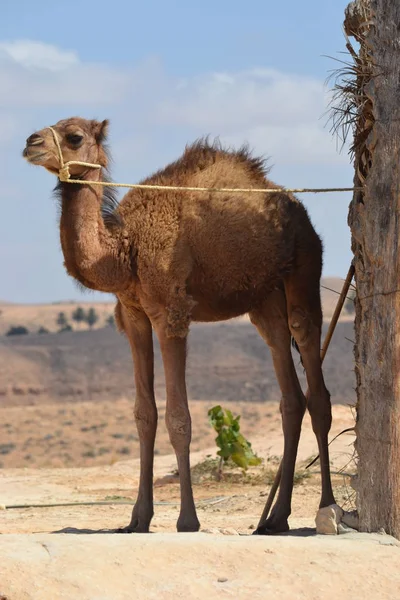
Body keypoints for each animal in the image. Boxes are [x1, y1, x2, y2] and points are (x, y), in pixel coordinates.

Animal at [23, 117, 336, 536]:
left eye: (74, 136)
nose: (30, 143)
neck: (125, 250)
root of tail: (296, 209)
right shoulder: (133, 314)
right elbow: (145, 415)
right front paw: (137, 519)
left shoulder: (170, 313)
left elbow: (179, 418)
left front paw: (187, 519)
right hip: (266, 299)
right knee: (290, 393)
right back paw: (275, 518)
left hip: (304, 265)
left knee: (315, 383)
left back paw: (327, 507)